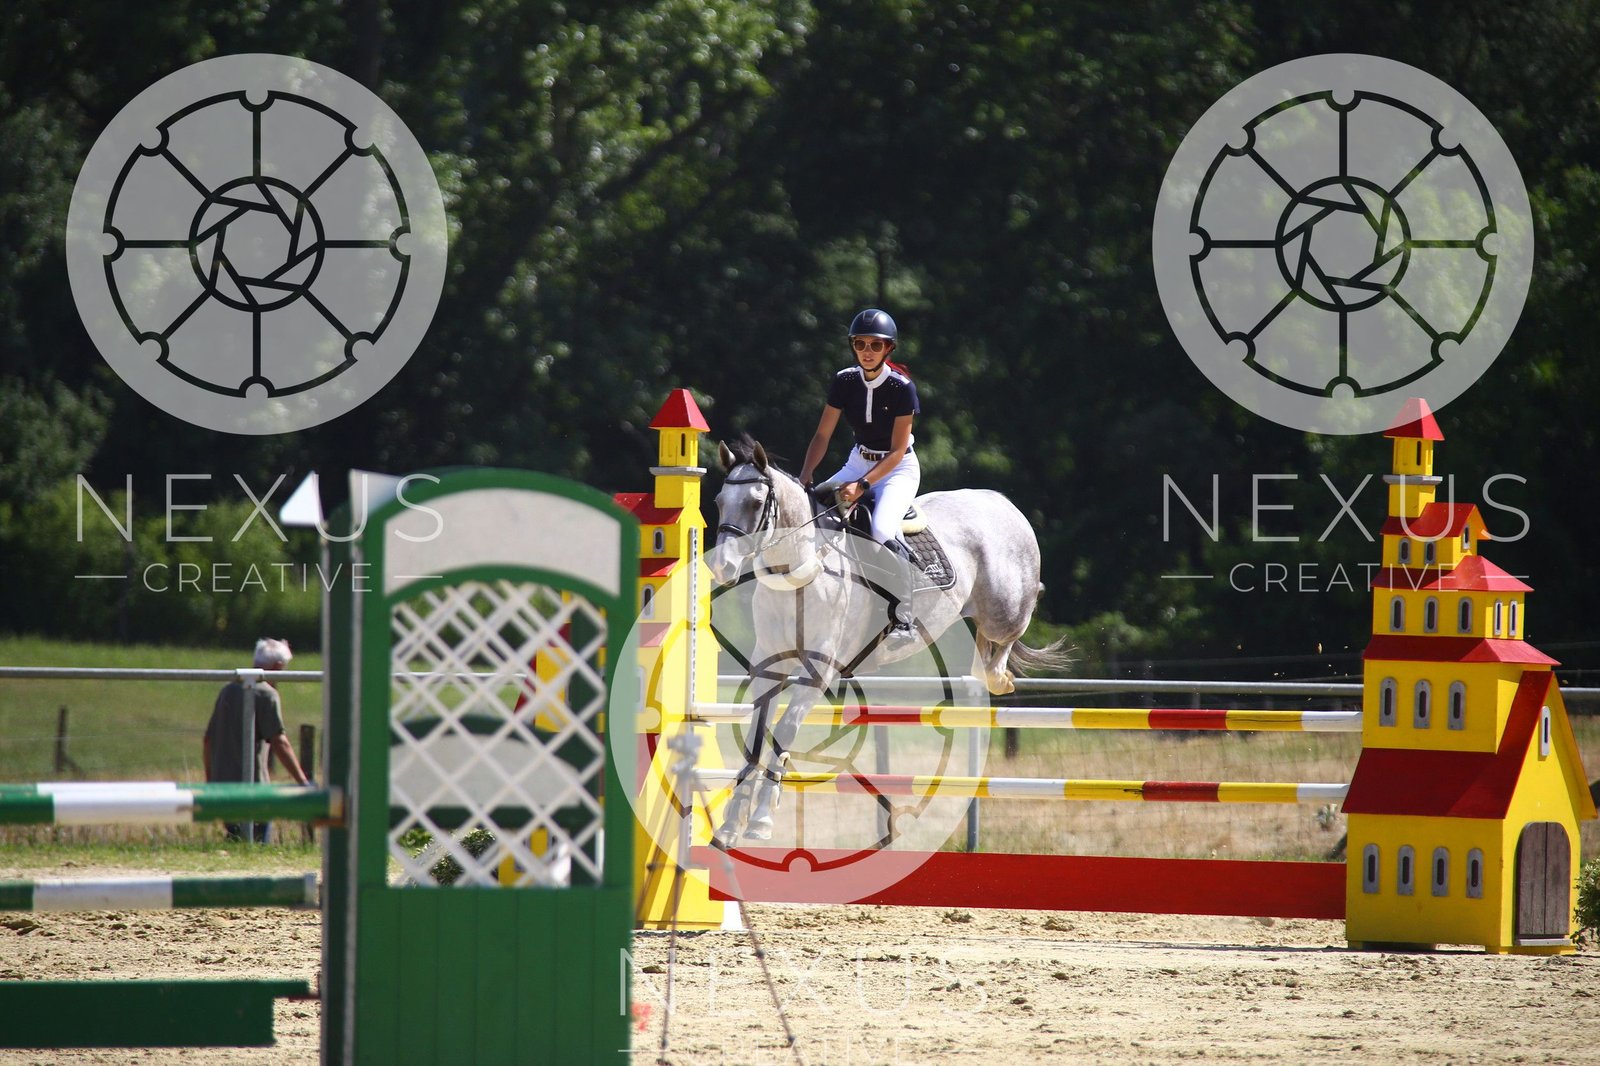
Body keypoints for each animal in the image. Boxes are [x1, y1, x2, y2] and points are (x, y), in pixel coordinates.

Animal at [706, 434, 1071, 843]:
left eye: (755, 503)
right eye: (719, 502)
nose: (721, 566)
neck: (800, 572)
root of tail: (1001, 502)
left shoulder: (819, 671)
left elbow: (784, 731)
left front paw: (761, 820)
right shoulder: (767, 665)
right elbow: (756, 735)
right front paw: (730, 824)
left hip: (1004, 608)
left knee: (1009, 630)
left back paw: (998, 677)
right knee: (982, 641)